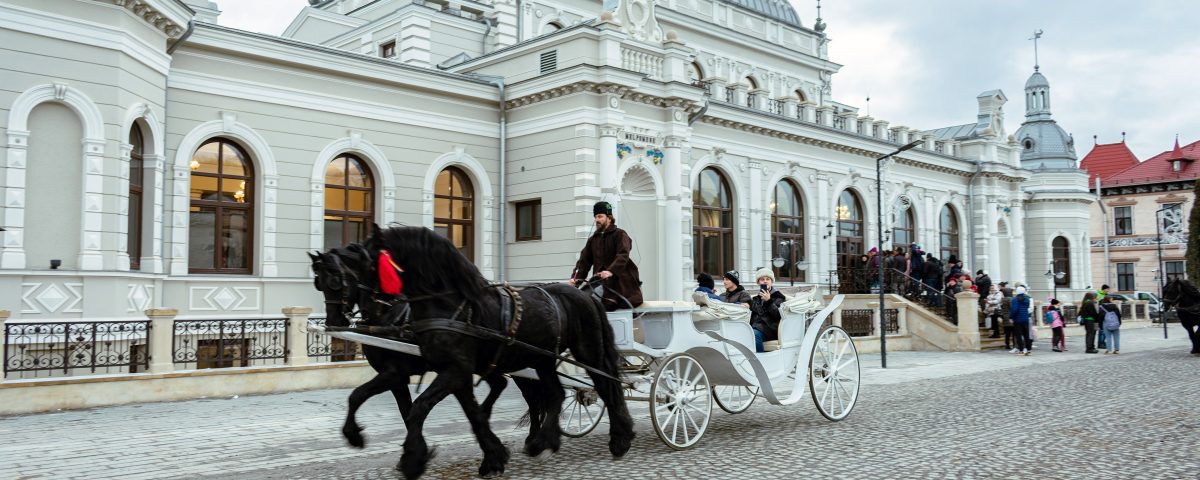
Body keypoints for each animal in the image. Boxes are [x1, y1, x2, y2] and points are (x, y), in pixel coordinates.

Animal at [309, 247, 535, 453]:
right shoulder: (397, 379)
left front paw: (354, 435)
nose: (333, 321)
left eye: (335, 281)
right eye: (319, 284)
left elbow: (356, 395)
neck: (387, 314)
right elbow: (405, 411)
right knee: (503, 384)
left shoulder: (394, 373)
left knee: (531, 394)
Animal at [352, 225, 638, 480]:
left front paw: (413, 459)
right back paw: (544, 442)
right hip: (541, 360)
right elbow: (468, 413)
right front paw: (492, 458)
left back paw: (619, 439)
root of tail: (586, 294)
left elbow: (418, 408)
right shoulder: (452, 372)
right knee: (554, 394)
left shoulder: (449, 371)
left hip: (588, 351)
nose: (367, 308)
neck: (451, 305)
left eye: (367, 264)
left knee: (606, 386)